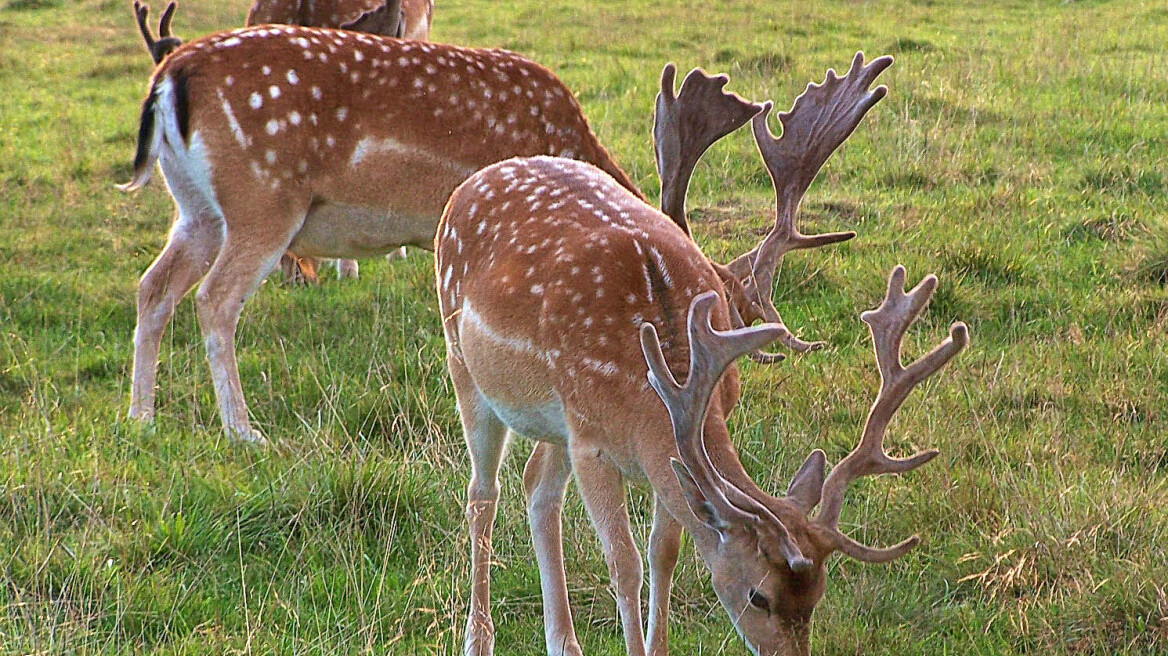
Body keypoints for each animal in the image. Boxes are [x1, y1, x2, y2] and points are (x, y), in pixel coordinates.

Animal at [125, 28, 649, 441]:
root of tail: (170, 75)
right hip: (263, 200)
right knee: (214, 298)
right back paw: (243, 431)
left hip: (197, 209)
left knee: (153, 286)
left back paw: (141, 418)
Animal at [436, 52, 967, 653]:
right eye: (759, 595)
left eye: (818, 595)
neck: (649, 388)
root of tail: (472, 182)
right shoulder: (591, 442)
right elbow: (624, 563)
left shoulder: (647, 451)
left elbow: (663, 553)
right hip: (464, 364)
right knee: (484, 493)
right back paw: (477, 638)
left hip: (550, 421)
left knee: (536, 489)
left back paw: (562, 642)